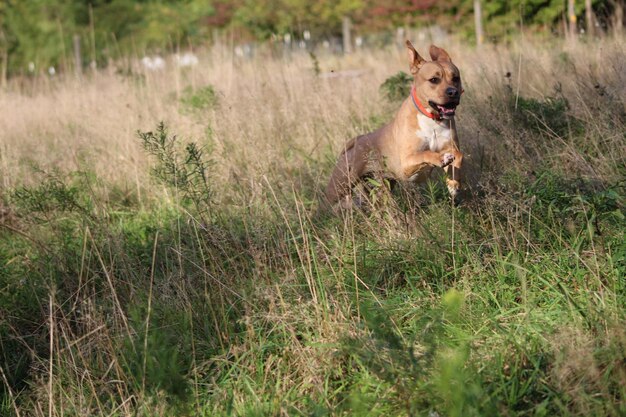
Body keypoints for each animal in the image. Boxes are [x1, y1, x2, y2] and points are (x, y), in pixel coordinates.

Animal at [324, 40, 460, 206]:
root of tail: (355, 141)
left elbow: (458, 157)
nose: (453, 92)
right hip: (340, 185)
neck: (431, 118)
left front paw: (453, 185)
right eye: (434, 79)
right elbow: (425, 154)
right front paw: (440, 158)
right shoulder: (406, 163)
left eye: (456, 78)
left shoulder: (451, 146)